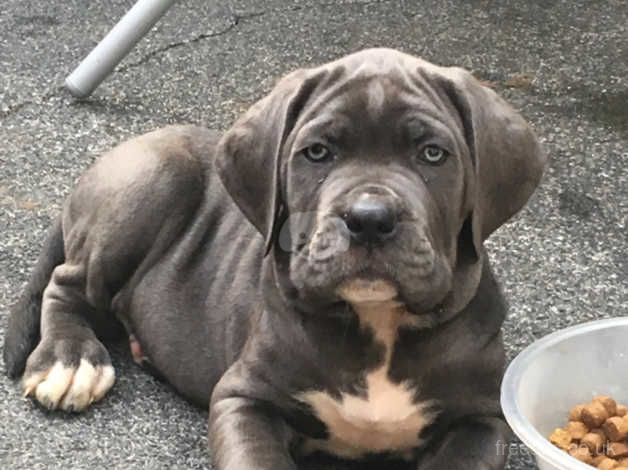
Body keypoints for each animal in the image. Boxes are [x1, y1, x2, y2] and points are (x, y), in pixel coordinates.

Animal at [4, 48, 544, 470]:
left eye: (433, 154)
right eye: (317, 152)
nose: (369, 218)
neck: (377, 324)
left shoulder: (481, 420)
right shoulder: (243, 398)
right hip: (158, 176)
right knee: (66, 284)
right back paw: (69, 361)